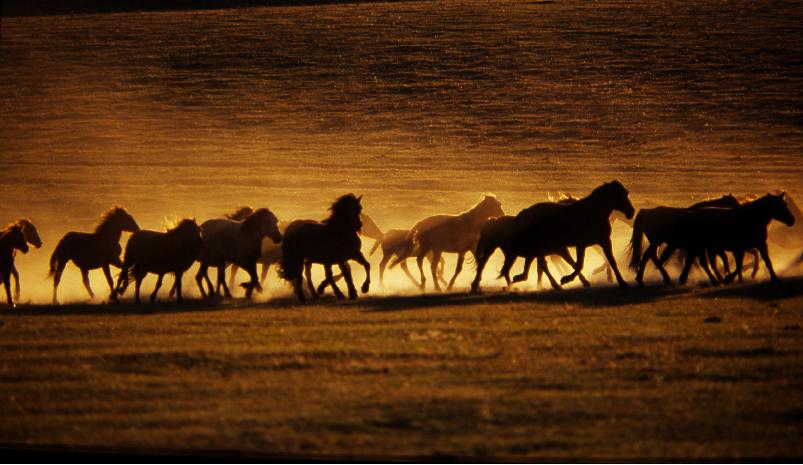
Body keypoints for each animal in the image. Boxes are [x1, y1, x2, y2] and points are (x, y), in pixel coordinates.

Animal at [505, 181, 635, 288]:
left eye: (626, 193)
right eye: (621, 195)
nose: (631, 212)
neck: (592, 213)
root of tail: (526, 212)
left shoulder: (604, 241)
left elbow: (611, 261)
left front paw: (622, 281)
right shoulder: (581, 244)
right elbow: (579, 264)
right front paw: (567, 279)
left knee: (541, 264)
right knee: (543, 264)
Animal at [662, 193, 795, 285]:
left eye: (785, 205)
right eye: (781, 206)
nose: (792, 220)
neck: (750, 218)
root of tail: (690, 214)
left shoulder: (758, 245)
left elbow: (766, 261)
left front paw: (774, 278)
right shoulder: (741, 248)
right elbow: (739, 265)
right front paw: (729, 278)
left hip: (701, 247)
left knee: (693, 261)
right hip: (700, 247)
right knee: (695, 261)